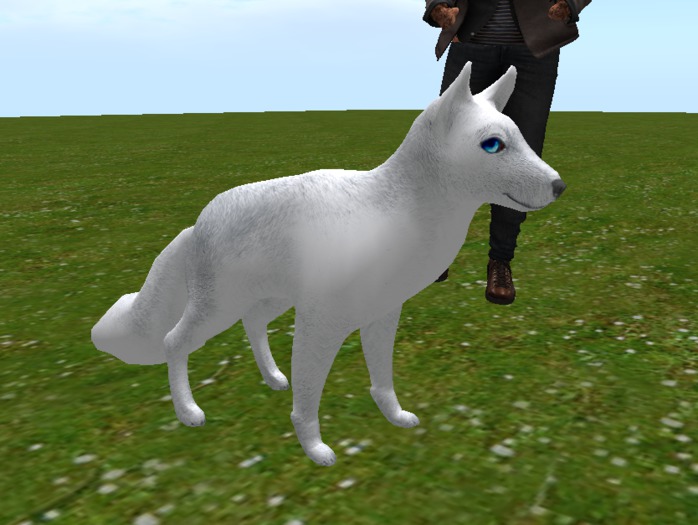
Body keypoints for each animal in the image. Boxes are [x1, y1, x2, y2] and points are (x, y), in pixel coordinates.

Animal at [92, 62, 566, 466]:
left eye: (522, 138)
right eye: (493, 145)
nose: (559, 186)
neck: (398, 214)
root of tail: (197, 223)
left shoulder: (381, 317)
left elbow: (382, 381)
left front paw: (394, 417)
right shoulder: (320, 325)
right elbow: (307, 401)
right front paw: (315, 449)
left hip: (270, 300)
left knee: (252, 324)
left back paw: (272, 377)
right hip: (218, 308)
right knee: (174, 342)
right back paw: (188, 410)